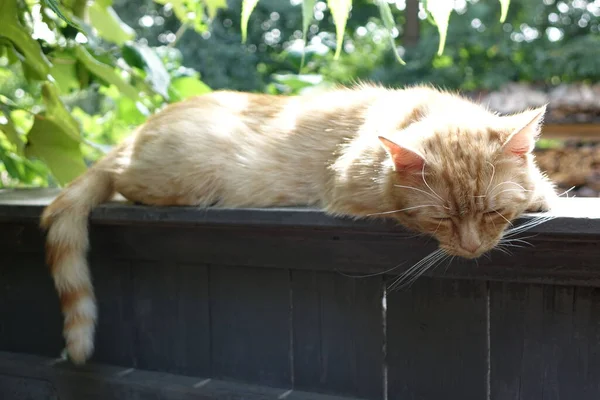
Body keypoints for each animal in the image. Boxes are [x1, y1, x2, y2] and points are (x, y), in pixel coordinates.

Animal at [41, 83, 556, 362]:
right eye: (441, 218)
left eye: (492, 213)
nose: (472, 248)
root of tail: (131, 137)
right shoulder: (349, 187)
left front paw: (539, 192)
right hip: (184, 178)